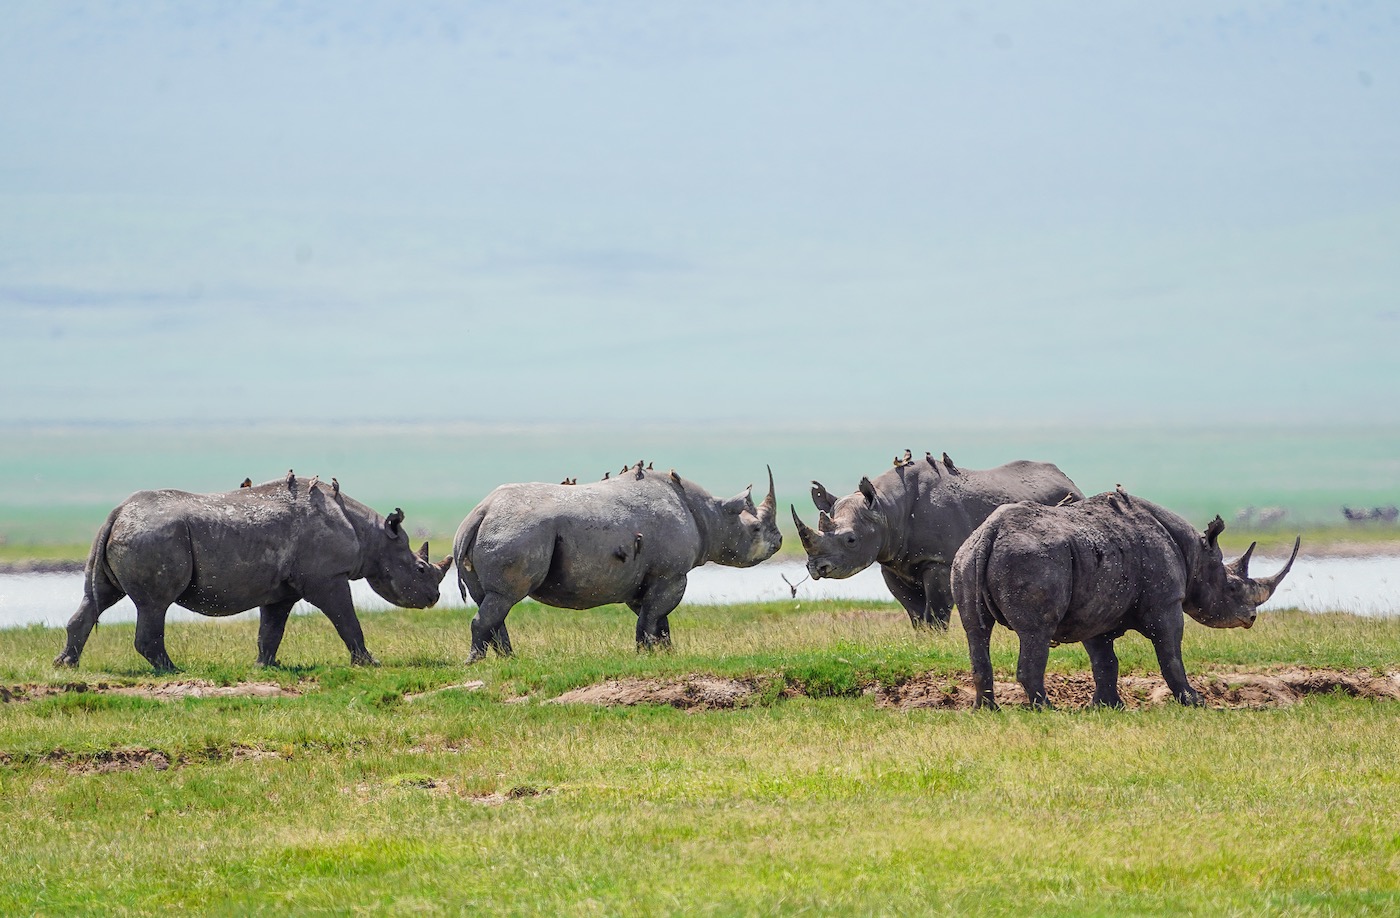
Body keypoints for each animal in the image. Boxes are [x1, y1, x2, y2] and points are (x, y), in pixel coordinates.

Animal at [54, 474, 452, 672]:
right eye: (420, 568)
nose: (433, 598)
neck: (372, 537)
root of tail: (118, 512)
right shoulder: (327, 579)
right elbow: (347, 621)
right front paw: (370, 663)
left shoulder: (283, 589)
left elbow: (271, 630)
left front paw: (265, 666)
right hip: (153, 535)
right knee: (154, 605)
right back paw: (173, 671)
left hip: (129, 534)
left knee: (99, 598)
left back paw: (66, 665)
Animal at [454, 464, 782, 662]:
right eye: (756, 529)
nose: (778, 541)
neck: (712, 515)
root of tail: (480, 512)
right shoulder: (671, 574)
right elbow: (652, 617)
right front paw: (645, 655)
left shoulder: (645, 579)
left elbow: (656, 619)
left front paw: (665, 654)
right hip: (518, 531)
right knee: (504, 597)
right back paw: (476, 663)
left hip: (491, 530)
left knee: (493, 601)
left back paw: (510, 660)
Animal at [790, 453, 1081, 629]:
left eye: (851, 540)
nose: (817, 567)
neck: (886, 509)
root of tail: (1069, 480)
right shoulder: (892, 562)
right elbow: (914, 612)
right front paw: (922, 640)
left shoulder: (939, 561)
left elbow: (936, 611)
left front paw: (935, 639)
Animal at [951, 489, 1300, 709]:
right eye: (1232, 589)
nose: (1251, 617)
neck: (1197, 555)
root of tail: (991, 533)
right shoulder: (1165, 603)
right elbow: (1170, 653)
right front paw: (1195, 701)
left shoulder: (1094, 606)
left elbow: (1105, 660)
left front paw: (1107, 706)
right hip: (1032, 559)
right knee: (1035, 632)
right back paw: (1047, 710)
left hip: (966, 556)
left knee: (976, 631)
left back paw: (986, 711)